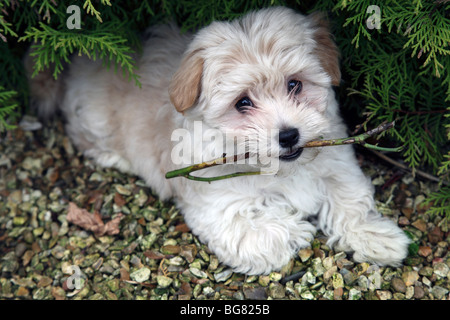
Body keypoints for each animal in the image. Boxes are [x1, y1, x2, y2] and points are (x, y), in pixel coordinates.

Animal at [26, 6, 410, 274]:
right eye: (243, 103)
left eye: (294, 84)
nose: (288, 135)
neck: (275, 168)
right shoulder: (218, 203)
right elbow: (257, 229)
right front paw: (295, 230)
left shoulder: (335, 159)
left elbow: (349, 199)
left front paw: (376, 236)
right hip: (95, 119)